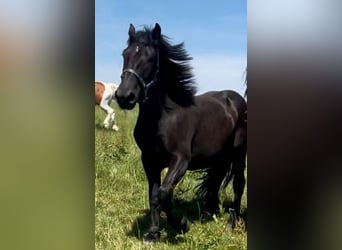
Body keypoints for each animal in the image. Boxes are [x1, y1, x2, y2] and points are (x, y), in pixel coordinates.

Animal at [116, 23, 247, 242]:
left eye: (150, 58)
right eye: (125, 54)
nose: (124, 97)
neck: (164, 116)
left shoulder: (180, 159)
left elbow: (164, 193)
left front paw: (182, 225)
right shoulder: (149, 160)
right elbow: (153, 195)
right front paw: (153, 233)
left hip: (238, 154)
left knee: (238, 184)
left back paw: (231, 225)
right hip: (219, 158)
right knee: (215, 182)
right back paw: (211, 212)